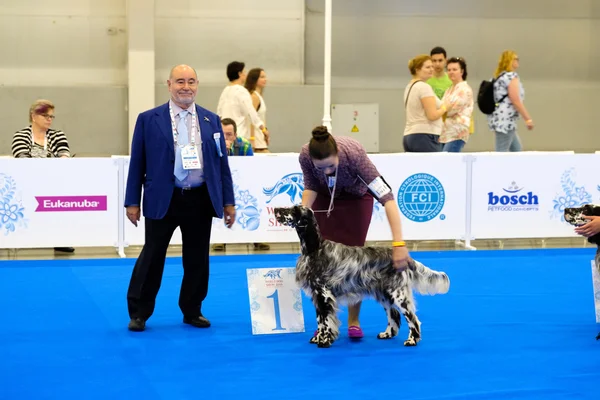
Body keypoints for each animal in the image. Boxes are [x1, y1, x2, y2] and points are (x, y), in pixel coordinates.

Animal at [274, 205, 448, 348]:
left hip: (398, 294)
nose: (275, 209)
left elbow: (326, 321)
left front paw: (324, 341)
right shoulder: (317, 296)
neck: (315, 248)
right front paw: (318, 338)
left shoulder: (324, 294)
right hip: (384, 294)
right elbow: (320, 321)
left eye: (294, 210)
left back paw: (412, 340)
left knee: (412, 318)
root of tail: (403, 257)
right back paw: (387, 334)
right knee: (394, 315)